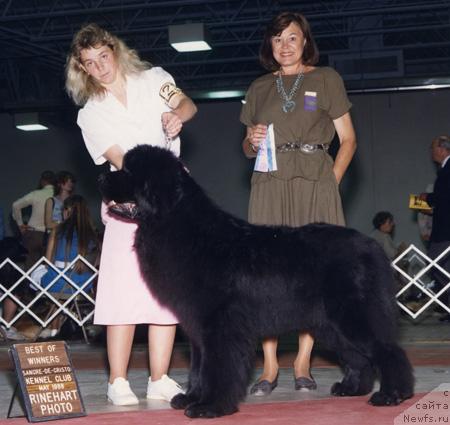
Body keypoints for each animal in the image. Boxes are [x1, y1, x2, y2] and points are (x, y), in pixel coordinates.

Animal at [99, 146, 414, 418]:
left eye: (129, 172)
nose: (102, 177)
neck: (181, 227)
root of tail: (371, 246)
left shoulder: (220, 325)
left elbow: (217, 367)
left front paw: (209, 406)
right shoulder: (198, 328)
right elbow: (198, 367)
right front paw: (191, 398)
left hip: (352, 315)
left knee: (388, 351)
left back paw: (392, 394)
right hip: (331, 323)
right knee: (358, 356)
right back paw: (351, 388)